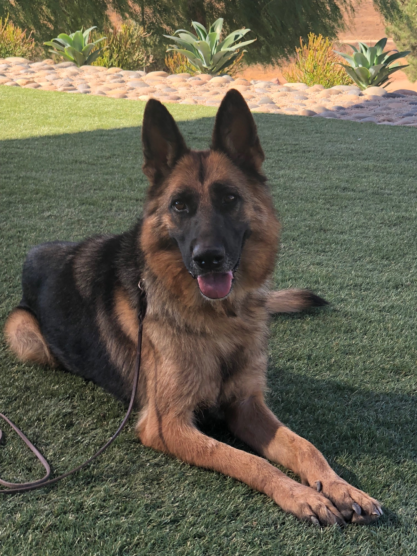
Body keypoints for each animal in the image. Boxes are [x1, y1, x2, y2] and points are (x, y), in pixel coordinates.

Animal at [3, 89, 380, 524]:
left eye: (229, 199)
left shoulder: (247, 405)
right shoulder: (168, 425)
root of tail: (36, 251)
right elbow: (250, 461)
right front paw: (300, 494)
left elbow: (306, 446)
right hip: (26, 337)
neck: (219, 322)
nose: (207, 259)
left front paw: (340, 486)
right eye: (180, 205)